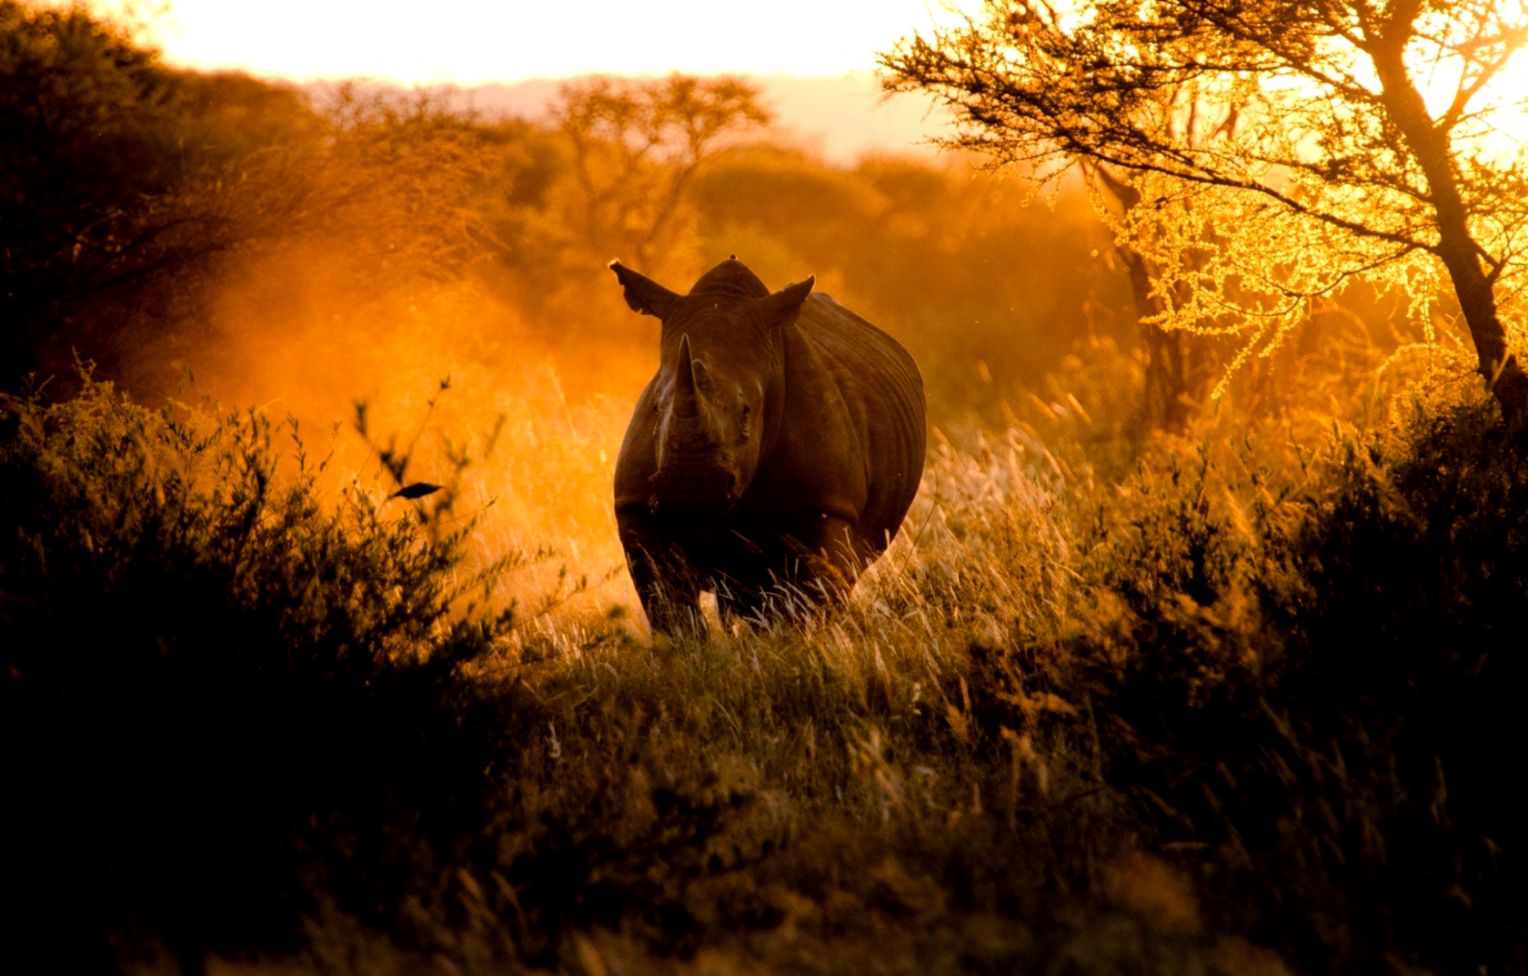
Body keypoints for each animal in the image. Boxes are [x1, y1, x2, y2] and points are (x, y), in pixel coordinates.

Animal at [610, 257, 926, 637]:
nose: (691, 485)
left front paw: (796, 645)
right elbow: (669, 608)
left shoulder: (826, 504)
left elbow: (807, 599)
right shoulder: (637, 508)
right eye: (656, 409)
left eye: (747, 411)